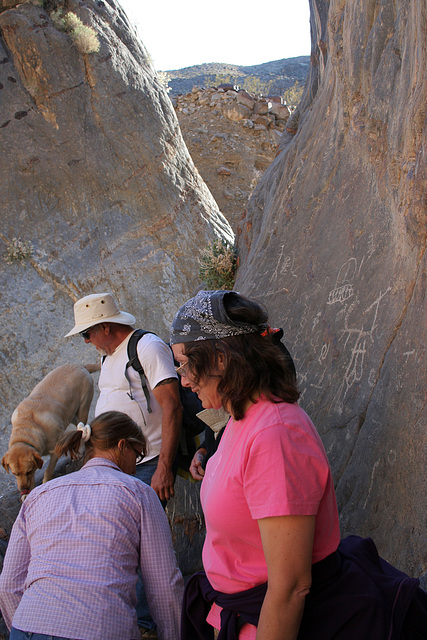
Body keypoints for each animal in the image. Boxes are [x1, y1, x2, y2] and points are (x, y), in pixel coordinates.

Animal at [1, 362, 99, 498]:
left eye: (29, 471)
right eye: (15, 473)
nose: (23, 489)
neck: (26, 430)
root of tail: (80, 366)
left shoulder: (55, 450)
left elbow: (48, 471)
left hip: (83, 408)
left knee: (82, 427)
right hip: (72, 415)